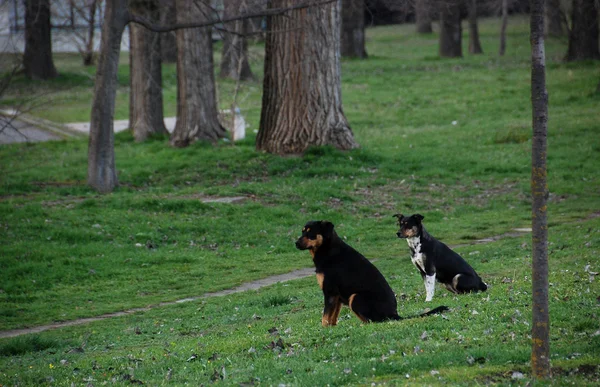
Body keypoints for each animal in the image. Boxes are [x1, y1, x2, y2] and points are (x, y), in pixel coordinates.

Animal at [296, 221, 446, 328]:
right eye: (302, 232)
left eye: (310, 233)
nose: (295, 243)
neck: (327, 249)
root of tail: (394, 314)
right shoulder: (336, 296)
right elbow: (332, 317)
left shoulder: (330, 292)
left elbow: (325, 317)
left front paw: (323, 330)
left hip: (355, 297)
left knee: (373, 321)